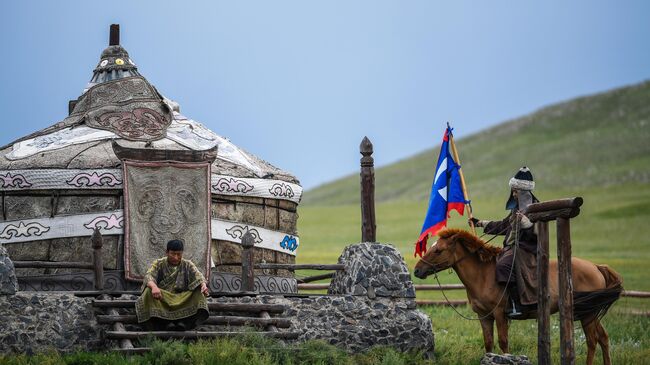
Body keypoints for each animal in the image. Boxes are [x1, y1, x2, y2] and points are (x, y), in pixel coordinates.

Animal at [412, 228, 620, 364]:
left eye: (438, 250)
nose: (417, 271)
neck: (483, 274)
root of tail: (596, 267)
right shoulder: (484, 316)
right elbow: (488, 343)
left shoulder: (500, 314)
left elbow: (503, 342)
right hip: (590, 312)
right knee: (603, 338)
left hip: (587, 314)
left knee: (592, 341)